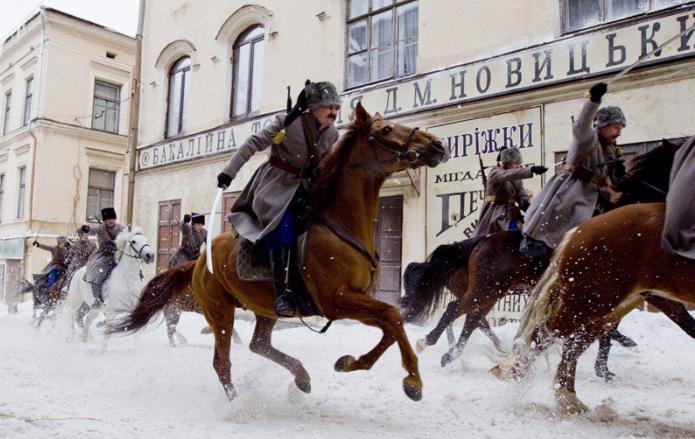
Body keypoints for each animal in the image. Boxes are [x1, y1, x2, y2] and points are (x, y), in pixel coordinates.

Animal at [109, 104, 446, 402]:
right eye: (386, 129)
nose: (438, 145)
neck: (339, 223)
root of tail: (198, 262)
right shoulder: (336, 301)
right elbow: (392, 316)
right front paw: (413, 381)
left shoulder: (356, 300)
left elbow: (391, 323)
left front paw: (349, 362)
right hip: (220, 311)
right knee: (222, 362)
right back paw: (238, 403)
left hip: (264, 308)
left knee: (259, 345)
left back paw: (301, 378)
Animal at [396, 139, 695, 372]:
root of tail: (482, 241)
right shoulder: (644, 291)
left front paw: (604, 364)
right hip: (486, 289)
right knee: (458, 311)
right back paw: (434, 344)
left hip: (491, 291)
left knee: (471, 318)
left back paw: (460, 352)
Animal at [494, 205, 695, 414]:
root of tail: (578, 231)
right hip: (593, 300)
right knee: (546, 333)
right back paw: (518, 374)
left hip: (606, 304)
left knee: (575, 340)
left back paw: (568, 398)